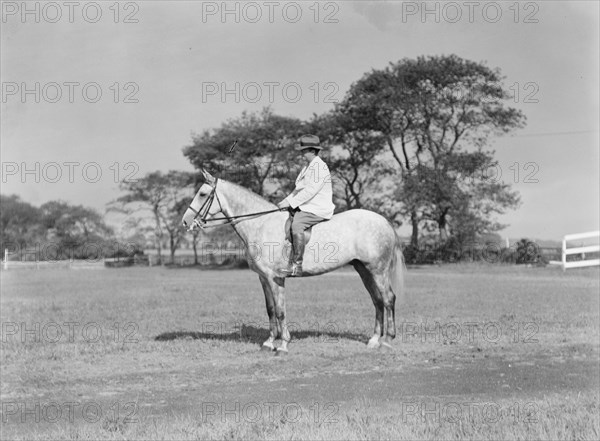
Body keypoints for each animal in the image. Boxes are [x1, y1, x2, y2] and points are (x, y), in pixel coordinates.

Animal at [180, 168, 406, 354]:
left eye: (202, 194)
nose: (185, 221)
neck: (261, 223)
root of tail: (384, 221)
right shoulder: (263, 279)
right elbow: (270, 310)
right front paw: (269, 343)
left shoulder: (275, 278)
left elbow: (280, 311)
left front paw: (283, 345)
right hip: (364, 270)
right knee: (377, 300)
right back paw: (374, 340)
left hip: (377, 270)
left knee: (388, 299)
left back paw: (387, 341)